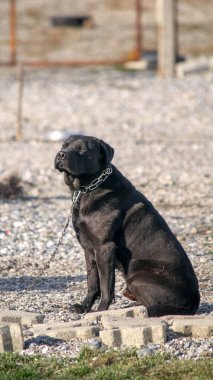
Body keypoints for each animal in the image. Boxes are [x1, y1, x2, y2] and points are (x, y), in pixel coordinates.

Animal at [55, 135, 200, 316]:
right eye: (64, 145)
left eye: (82, 149)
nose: (61, 154)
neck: (87, 188)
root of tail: (194, 299)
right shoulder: (88, 249)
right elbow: (92, 281)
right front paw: (84, 306)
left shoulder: (104, 248)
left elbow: (106, 286)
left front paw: (100, 310)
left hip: (136, 272)